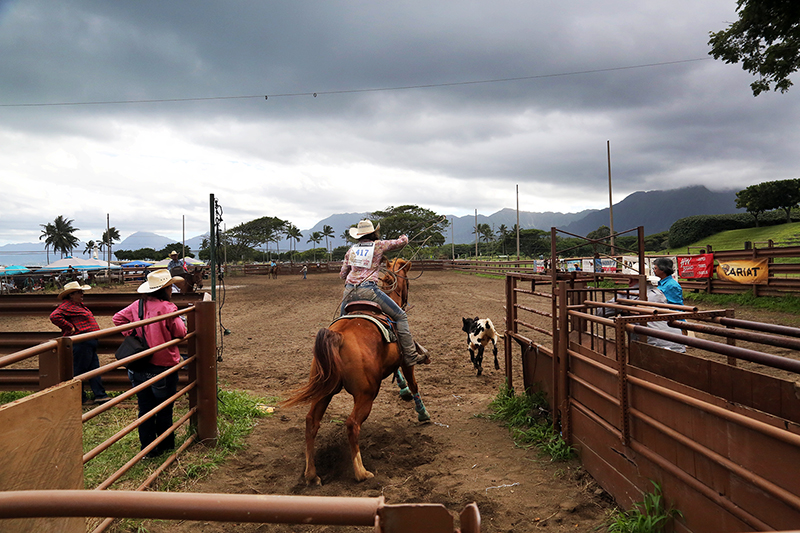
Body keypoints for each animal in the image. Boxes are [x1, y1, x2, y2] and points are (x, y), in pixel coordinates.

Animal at [282, 256, 428, 484]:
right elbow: (413, 383)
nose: (405, 302)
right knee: (352, 424)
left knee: (312, 422)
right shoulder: (405, 359)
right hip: (365, 394)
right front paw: (422, 413)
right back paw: (361, 472)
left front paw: (402, 389)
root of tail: (339, 336)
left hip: (324, 390)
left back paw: (311, 474)